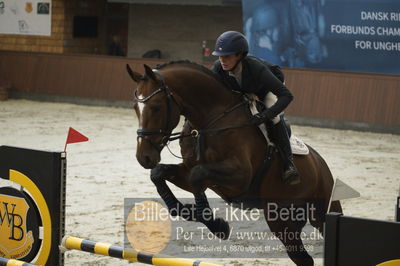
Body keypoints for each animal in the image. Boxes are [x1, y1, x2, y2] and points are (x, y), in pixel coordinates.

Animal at [126, 60, 342, 266]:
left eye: (156, 107)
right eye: (135, 107)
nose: (144, 158)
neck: (211, 121)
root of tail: (321, 164)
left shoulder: (240, 178)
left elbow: (198, 174)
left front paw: (218, 227)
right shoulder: (192, 174)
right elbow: (160, 174)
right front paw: (191, 213)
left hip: (322, 210)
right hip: (282, 220)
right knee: (303, 258)